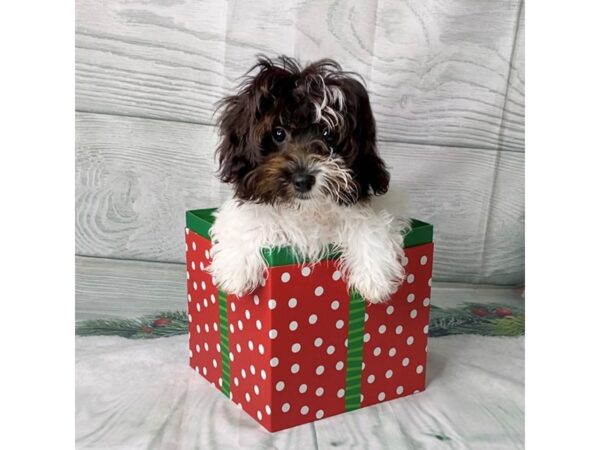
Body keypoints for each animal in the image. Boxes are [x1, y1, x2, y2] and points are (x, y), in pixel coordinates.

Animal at [206, 55, 408, 302]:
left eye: (327, 134)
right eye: (278, 133)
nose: (303, 180)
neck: (306, 211)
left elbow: (368, 224)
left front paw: (374, 278)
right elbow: (247, 221)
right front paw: (235, 270)